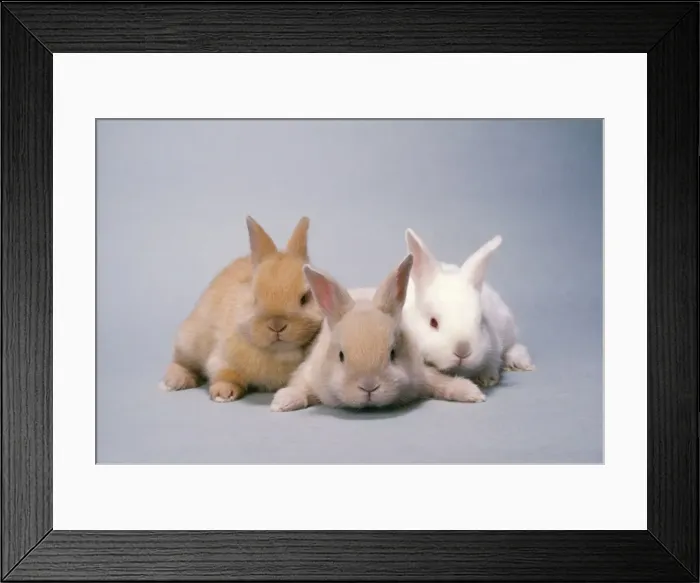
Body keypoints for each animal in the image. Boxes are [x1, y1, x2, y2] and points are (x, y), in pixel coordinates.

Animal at [159, 216, 324, 402]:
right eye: (254, 298)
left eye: (305, 298)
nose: (277, 325)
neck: (279, 352)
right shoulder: (221, 358)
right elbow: (225, 375)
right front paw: (223, 394)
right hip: (188, 341)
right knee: (180, 362)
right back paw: (174, 382)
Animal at [270, 253, 487, 412]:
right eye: (341, 356)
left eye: (393, 354)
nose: (369, 386)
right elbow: (300, 387)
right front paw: (282, 402)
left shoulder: (422, 372)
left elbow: (440, 382)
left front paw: (471, 392)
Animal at [401, 228, 535, 389]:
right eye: (433, 322)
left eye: (480, 322)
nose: (462, 351)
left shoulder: (493, 344)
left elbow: (493, 361)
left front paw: (487, 379)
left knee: (515, 346)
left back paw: (519, 363)